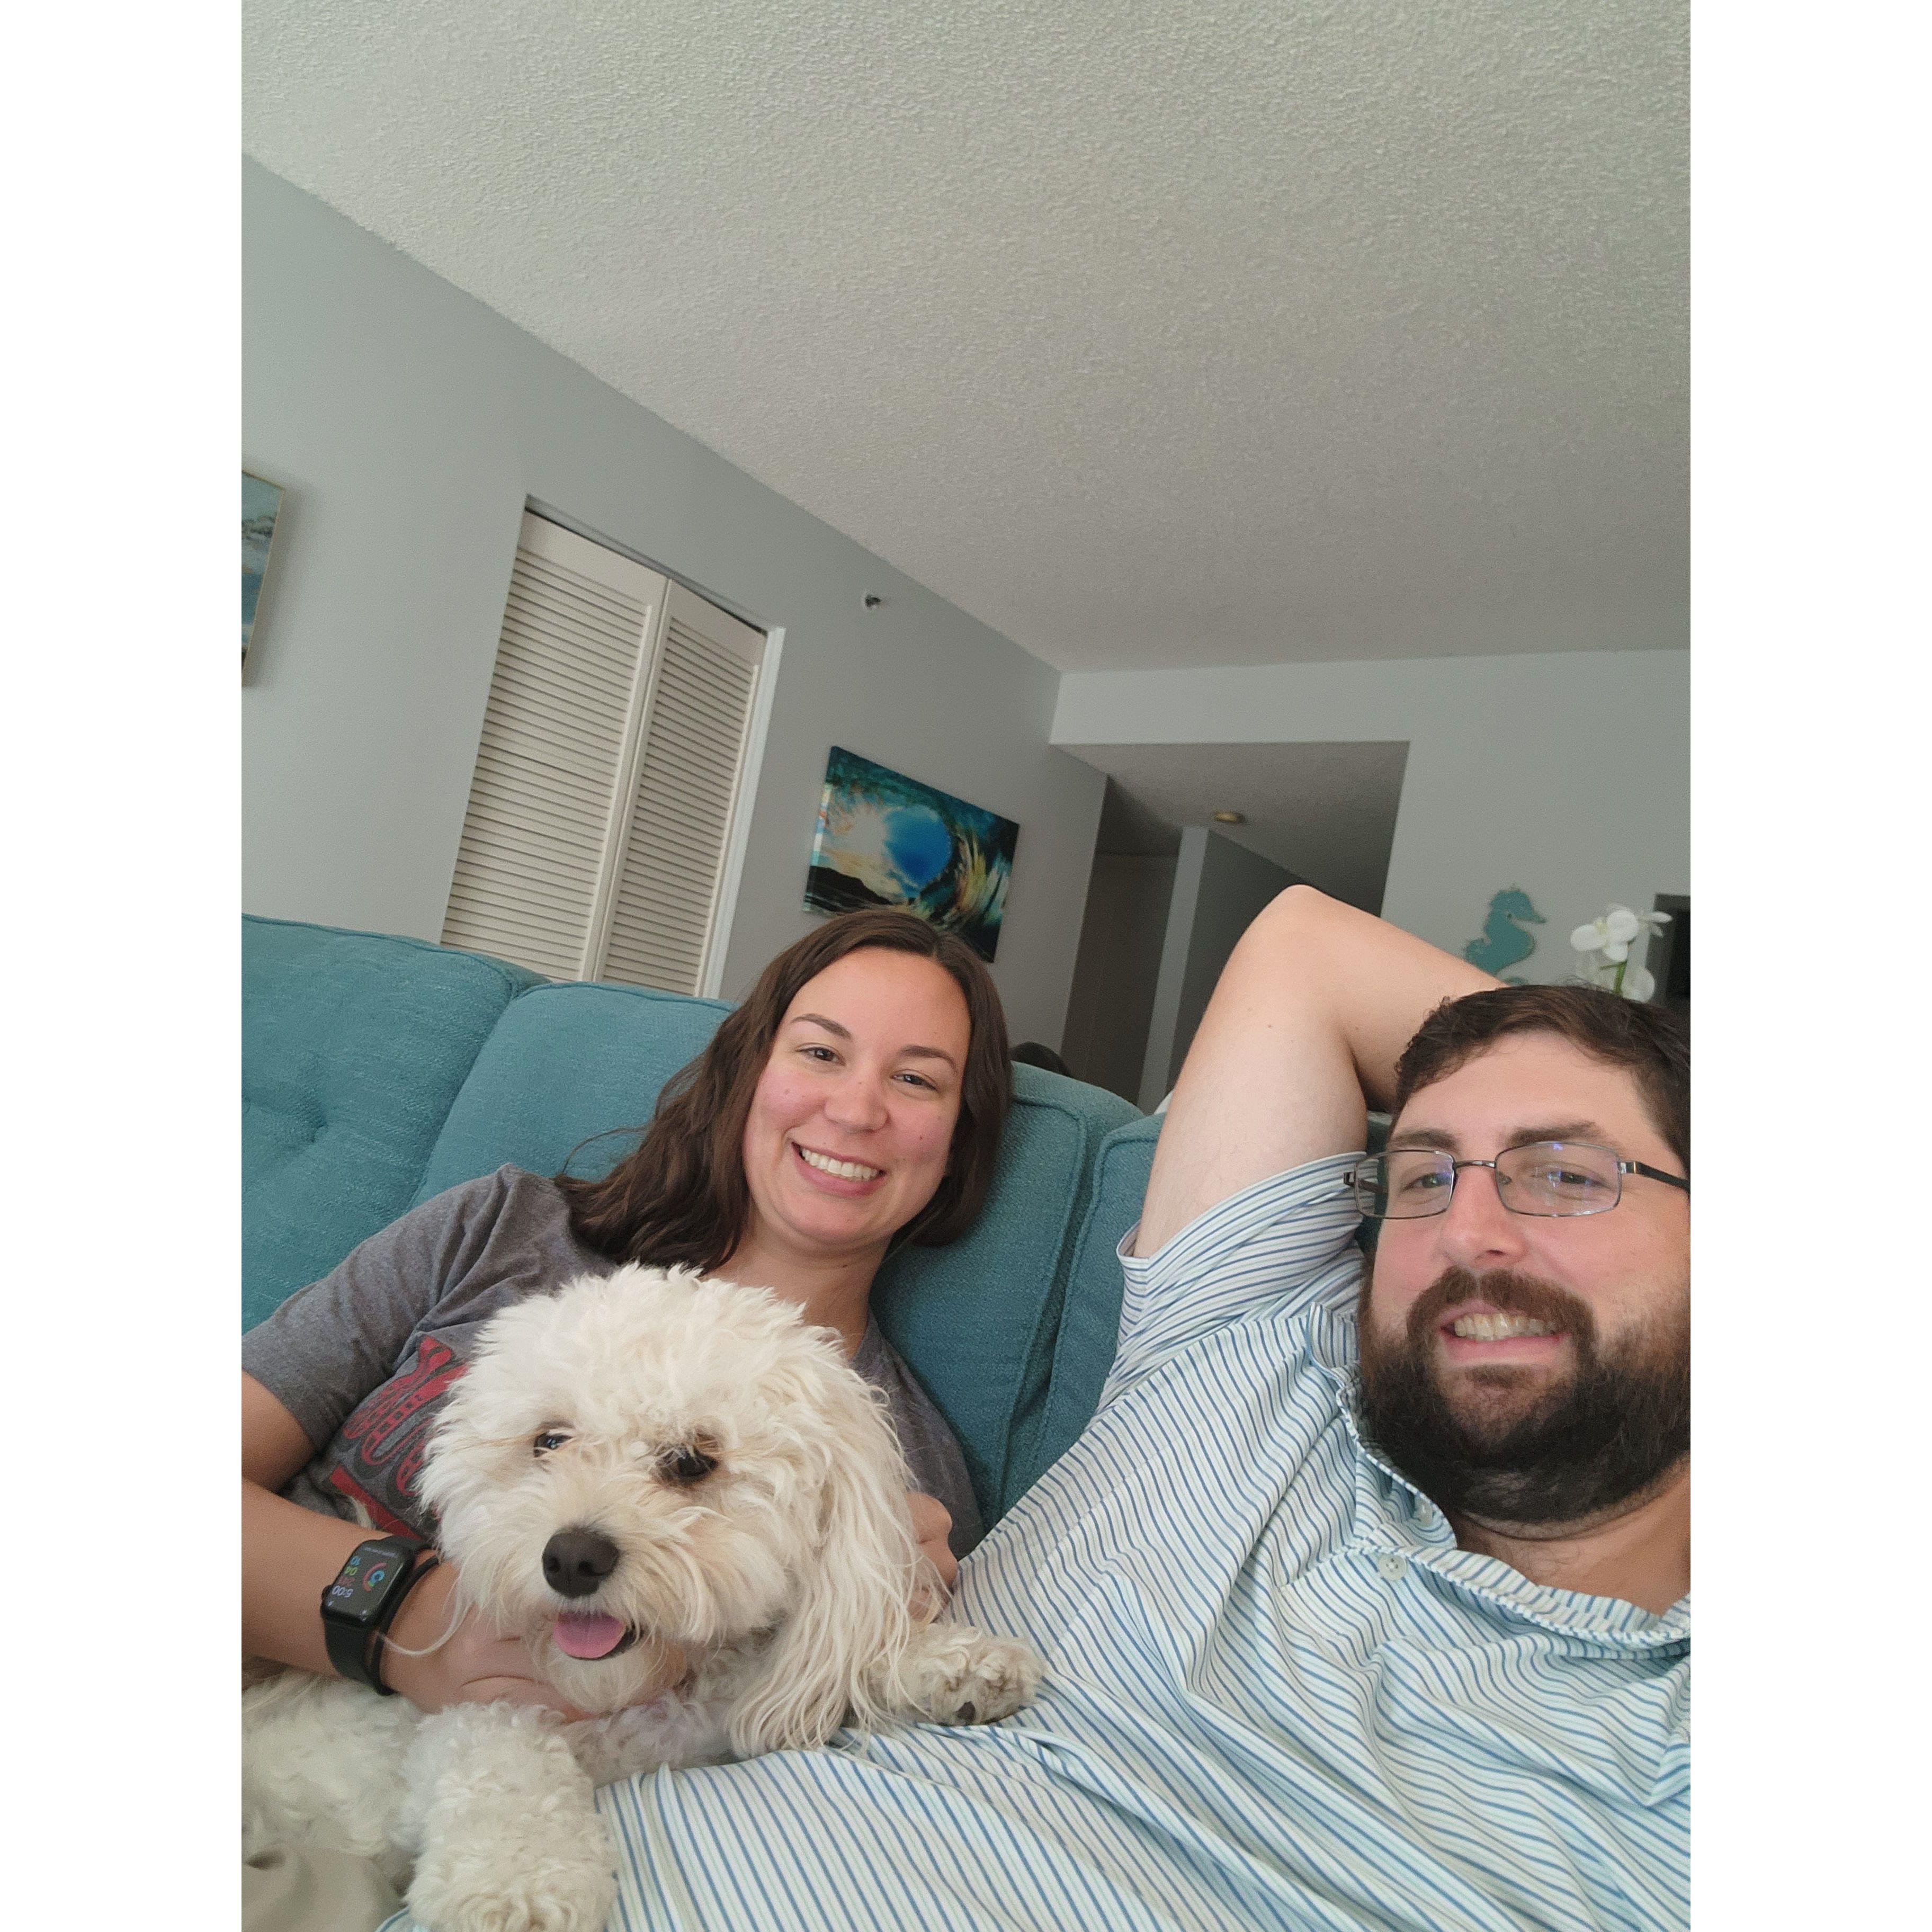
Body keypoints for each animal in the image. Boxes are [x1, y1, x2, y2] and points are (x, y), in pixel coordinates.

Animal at [243, 1267, 1042, 1932]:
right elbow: (505, 1769)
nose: (570, 1558)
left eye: (692, 1461)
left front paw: (955, 1664)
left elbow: (838, 1654)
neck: (630, 1704)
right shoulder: (474, 1710)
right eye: (550, 1441)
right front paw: (515, 1887)